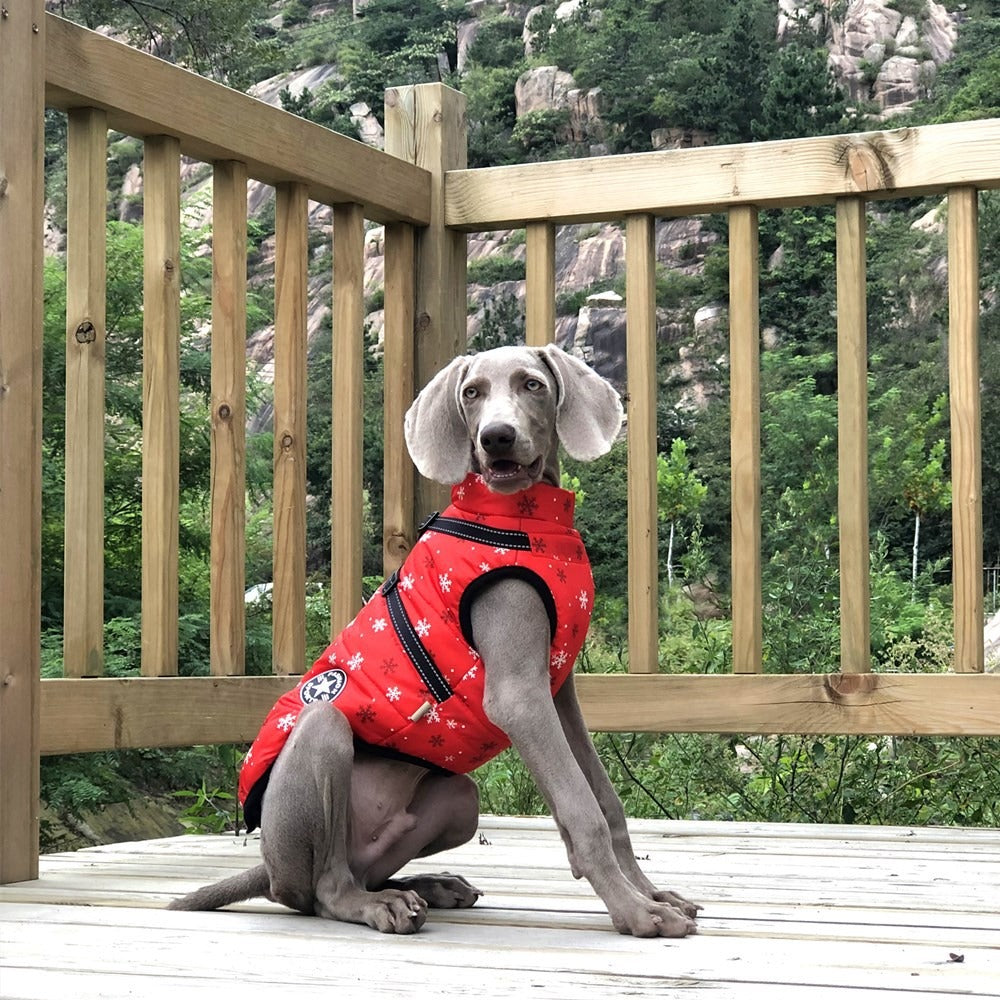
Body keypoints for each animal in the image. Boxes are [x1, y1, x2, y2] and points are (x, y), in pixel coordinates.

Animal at [172, 344, 700, 936]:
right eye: (471, 393)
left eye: (533, 384)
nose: (496, 437)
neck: (526, 521)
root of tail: (265, 867)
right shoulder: (519, 696)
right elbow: (581, 809)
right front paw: (635, 911)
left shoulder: (558, 691)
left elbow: (606, 800)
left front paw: (651, 892)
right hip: (323, 740)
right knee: (324, 890)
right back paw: (378, 905)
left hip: (459, 799)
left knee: (367, 869)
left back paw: (426, 886)